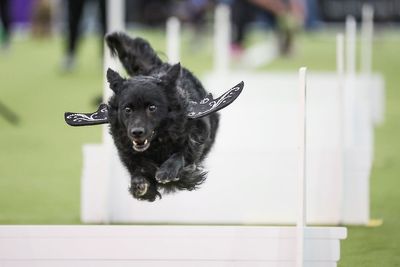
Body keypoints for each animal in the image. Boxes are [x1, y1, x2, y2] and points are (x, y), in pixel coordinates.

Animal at [104, 32, 219, 202]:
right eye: (127, 109)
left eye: (152, 108)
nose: (136, 132)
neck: (156, 142)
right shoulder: (126, 150)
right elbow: (138, 169)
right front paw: (139, 183)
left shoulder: (194, 139)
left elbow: (182, 154)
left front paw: (167, 171)